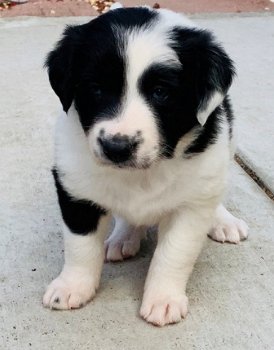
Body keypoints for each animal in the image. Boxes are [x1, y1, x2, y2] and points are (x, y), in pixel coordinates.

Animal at [42, 6, 248, 326]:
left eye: (161, 92)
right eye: (96, 88)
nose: (116, 147)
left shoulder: (191, 206)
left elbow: (174, 253)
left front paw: (163, 299)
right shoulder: (75, 189)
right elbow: (80, 246)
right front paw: (72, 286)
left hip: (227, 144)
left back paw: (223, 221)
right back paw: (123, 236)